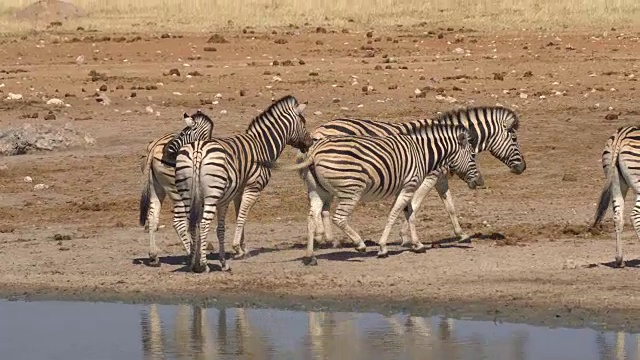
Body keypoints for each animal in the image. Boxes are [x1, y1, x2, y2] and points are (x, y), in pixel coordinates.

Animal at [138, 111, 215, 266]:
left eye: (182, 133)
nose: (166, 150)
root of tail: (154, 147)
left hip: (156, 187)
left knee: (152, 217)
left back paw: (154, 256)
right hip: (177, 191)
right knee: (178, 223)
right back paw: (191, 256)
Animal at [171, 94, 314, 272]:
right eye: (303, 123)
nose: (310, 143)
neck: (262, 146)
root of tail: (198, 150)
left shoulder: (238, 191)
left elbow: (241, 214)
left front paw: (243, 248)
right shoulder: (253, 187)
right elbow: (242, 216)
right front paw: (238, 248)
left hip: (187, 192)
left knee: (191, 223)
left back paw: (193, 262)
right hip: (211, 194)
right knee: (203, 223)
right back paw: (203, 264)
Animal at [278, 121, 482, 264]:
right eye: (473, 155)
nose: (480, 181)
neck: (422, 152)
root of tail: (314, 151)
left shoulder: (404, 188)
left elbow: (410, 214)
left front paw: (417, 244)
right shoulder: (409, 185)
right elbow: (395, 214)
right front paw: (383, 248)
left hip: (318, 191)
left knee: (311, 217)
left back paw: (310, 256)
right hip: (352, 189)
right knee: (339, 217)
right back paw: (359, 244)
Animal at [302, 105, 524, 249]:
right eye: (514, 138)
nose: (523, 167)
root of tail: (319, 129)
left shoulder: (440, 177)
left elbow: (449, 205)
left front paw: (461, 234)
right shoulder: (430, 175)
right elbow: (415, 204)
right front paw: (406, 236)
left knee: (321, 208)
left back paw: (327, 239)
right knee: (323, 208)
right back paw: (328, 239)